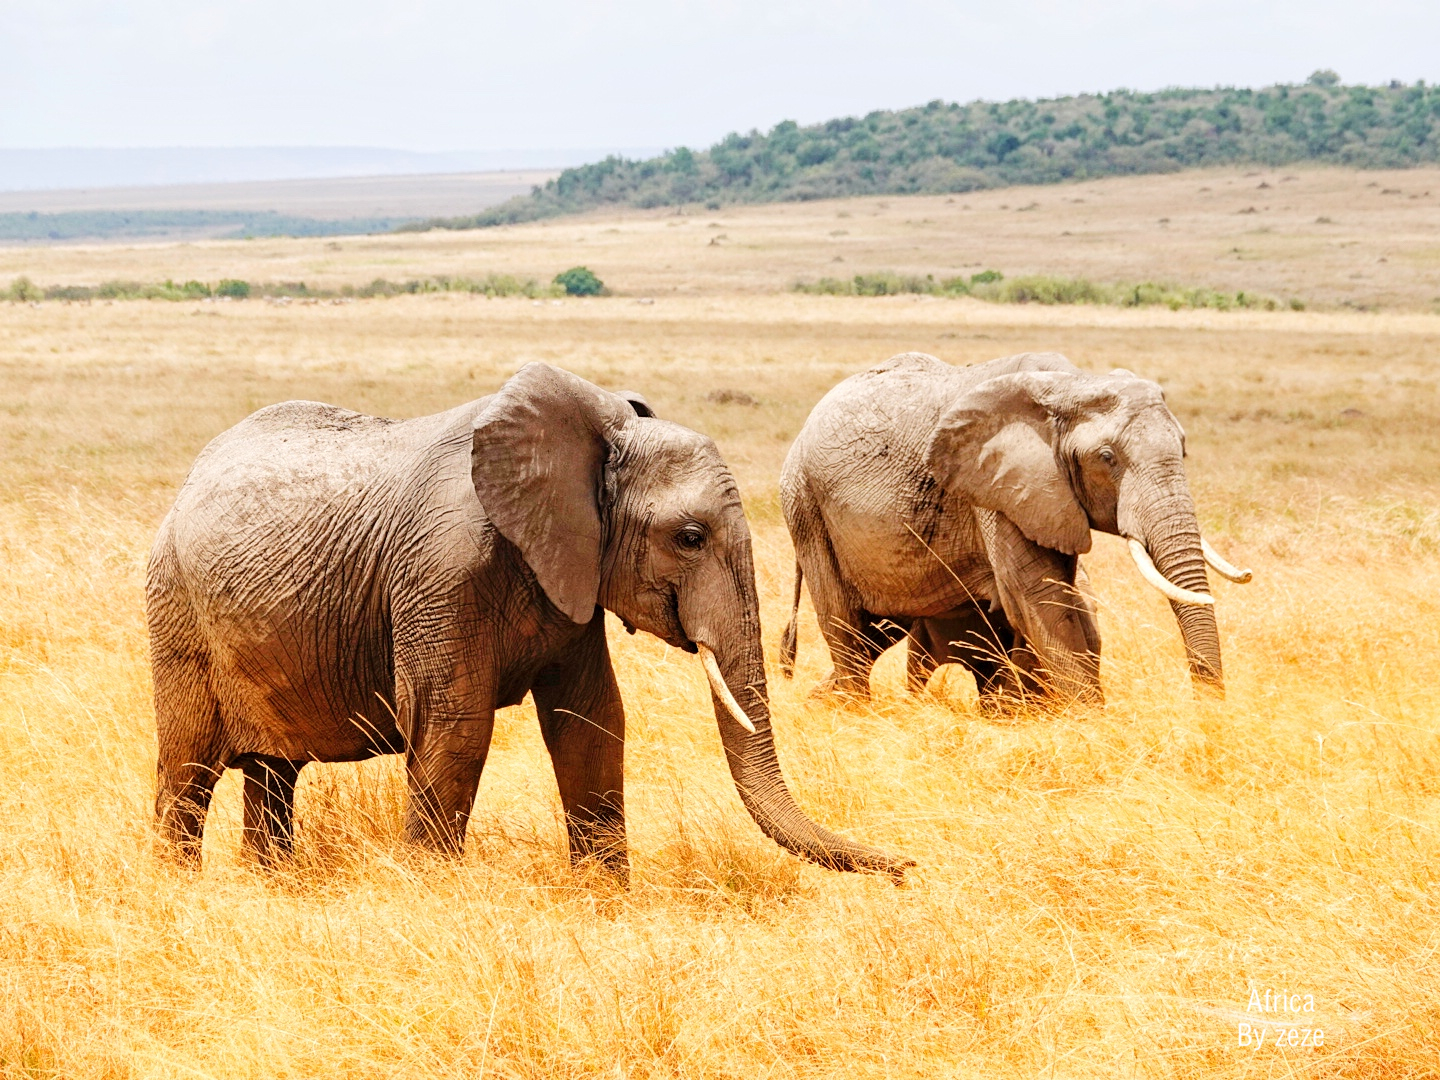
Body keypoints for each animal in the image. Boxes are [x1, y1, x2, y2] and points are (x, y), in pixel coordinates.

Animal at [149, 360, 910, 881]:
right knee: (186, 770)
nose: (907, 866)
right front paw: (431, 895)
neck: (594, 438)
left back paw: (270, 883)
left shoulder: (572, 570)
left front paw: (606, 898)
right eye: (690, 538)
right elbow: (454, 726)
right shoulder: (442, 568)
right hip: (175, 611)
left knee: (272, 773)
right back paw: (176, 889)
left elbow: (593, 721)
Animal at [777, 355, 1249, 705]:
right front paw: (1094, 724)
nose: (1207, 715)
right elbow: (1038, 599)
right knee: (847, 631)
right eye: (1107, 458)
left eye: (1183, 449)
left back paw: (820, 702)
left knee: (876, 635)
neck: (1072, 383)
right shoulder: (997, 493)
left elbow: (1066, 600)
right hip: (806, 507)